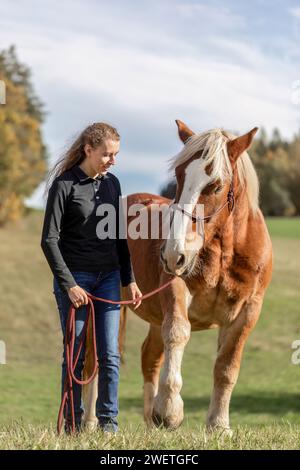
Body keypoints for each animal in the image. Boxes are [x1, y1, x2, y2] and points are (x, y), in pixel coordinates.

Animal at [81, 120, 272, 434]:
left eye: (216, 185)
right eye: (179, 176)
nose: (174, 253)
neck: (226, 252)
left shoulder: (248, 311)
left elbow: (226, 367)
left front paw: (218, 424)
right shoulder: (177, 288)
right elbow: (178, 334)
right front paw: (169, 410)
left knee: (149, 357)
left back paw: (149, 422)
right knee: (94, 357)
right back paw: (89, 422)